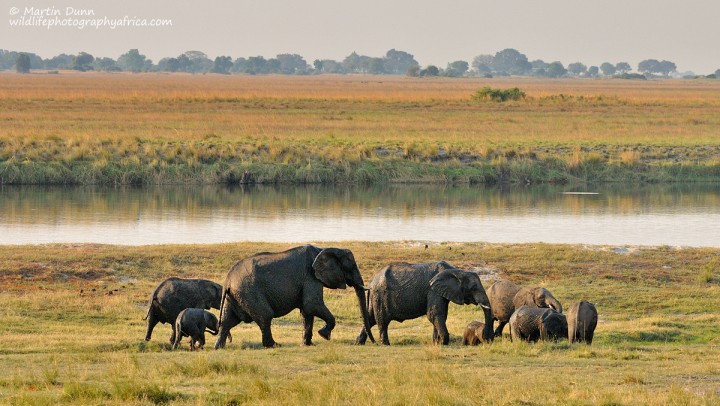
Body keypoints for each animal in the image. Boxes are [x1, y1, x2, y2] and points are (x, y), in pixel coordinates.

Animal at [214, 244, 374, 348]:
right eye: (351, 267)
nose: (374, 342)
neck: (324, 248)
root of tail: (228, 280)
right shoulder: (311, 277)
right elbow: (312, 305)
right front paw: (324, 335)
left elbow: (307, 312)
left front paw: (308, 344)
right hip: (249, 291)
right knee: (265, 316)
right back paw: (274, 345)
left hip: (234, 295)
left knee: (227, 321)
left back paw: (219, 347)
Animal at [356, 260, 496, 346]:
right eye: (473, 288)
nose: (487, 339)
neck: (456, 270)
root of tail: (371, 283)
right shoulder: (432, 290)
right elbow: (434, 314)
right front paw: (443, 343)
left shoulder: (440, 292)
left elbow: (440, 315)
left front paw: (436, 343)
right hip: (381, 295)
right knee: (382, 320)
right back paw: (385, 344)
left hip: (376, 296)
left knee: (370, 318)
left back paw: (359, 343)